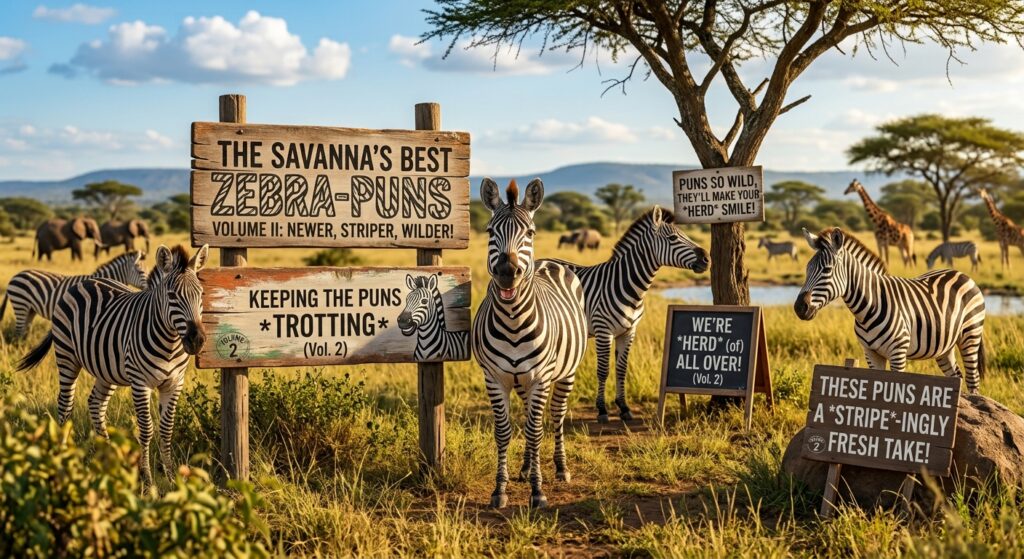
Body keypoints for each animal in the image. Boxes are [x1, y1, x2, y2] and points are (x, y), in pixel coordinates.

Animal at [1, 250, 148, 339]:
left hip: (30, 309)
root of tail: (15, 276)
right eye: (141, 272)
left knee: (25, 330)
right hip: (21, 304)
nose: (149, 288)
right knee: (18, 331)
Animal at [18, 244, 209, 487]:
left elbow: (167, 429)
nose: (197, 340)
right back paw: (63, 454)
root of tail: (82, 282)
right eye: (172, 295)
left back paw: (107, 456)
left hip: (106, 370)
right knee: (65, 405)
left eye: (201, 294)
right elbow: (146, 429)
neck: (171, 343)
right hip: (67, 356)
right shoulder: (140, 383)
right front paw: (148, 480)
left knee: (95, 404)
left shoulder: (175, 383)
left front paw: (172, 478)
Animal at [472, 177, 588, 509]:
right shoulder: (494, 377)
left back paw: (560, 469)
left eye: (530, 233)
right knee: (526, 416)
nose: (507, 273)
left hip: (565, 373)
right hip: (521, 380)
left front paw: (538, 491)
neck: (512, 321)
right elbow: (504, 431)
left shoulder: (541, 377)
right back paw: (525, 468)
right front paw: (500, 489)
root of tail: (549, 261)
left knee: (557, 415)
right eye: (490, 231)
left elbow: (536, 431)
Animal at [543, 206, 709, 422]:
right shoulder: (604, 331)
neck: (628, 285)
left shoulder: (629, 331)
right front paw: (602, 410)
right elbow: (603, 370)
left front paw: (623, 407)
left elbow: (622, 370)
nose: (707, 259)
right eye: (673, 238)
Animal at [794, 227, 985, 393]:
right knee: (957, 375)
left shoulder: (898, 352)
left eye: (827, 270)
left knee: (973, 379)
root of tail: (962, 274)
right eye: (807, 268)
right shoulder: (871, 353)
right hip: (945, 346)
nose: (799, 308)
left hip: (970, 335)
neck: (869, 307)